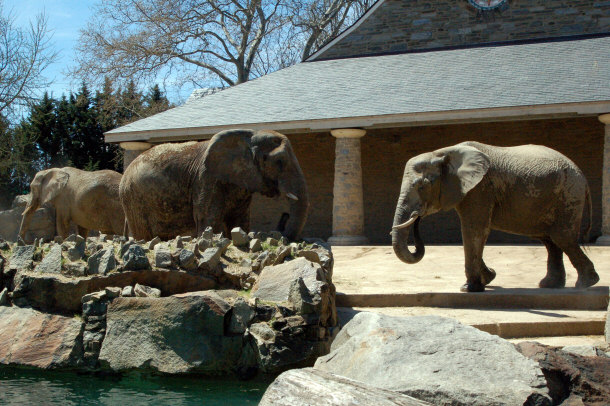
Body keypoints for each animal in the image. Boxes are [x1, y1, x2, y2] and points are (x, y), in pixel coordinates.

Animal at [119, 128, 308, 241]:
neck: (249, 135)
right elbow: (209, 219)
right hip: (134, 200)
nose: (284, 215)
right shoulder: (206, 178)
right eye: (279, 161)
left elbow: (239, 221)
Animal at [390, 142, 600, 292]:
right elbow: (475, 231)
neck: (442, 152)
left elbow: (474, 229)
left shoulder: (480, 189)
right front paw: (489, 278)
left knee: (562, 237)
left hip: (569, 194)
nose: (417, 215)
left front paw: (469, 288)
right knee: (550, 240)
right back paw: (550, 285)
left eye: (422, 186)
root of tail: (582, 176)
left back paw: (585, 284)